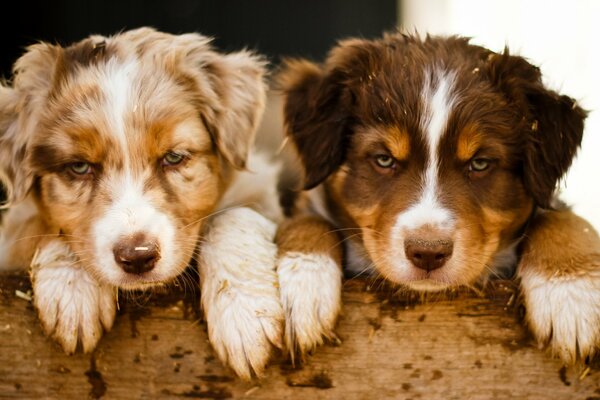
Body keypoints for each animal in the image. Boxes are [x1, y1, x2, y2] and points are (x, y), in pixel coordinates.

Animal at [0, 27, 288, 378]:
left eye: (174, 157)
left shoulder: (256, 189)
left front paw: (244, 315)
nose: (137, 257)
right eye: (79, 167)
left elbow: (233, 216)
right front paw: (72, 291)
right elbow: (43, 225)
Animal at [276, 32, 600, 364]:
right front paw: (302, 283)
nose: (428, 253)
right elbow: (307, 220)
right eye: (383, 159)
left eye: (480, 164)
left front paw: (569, 292)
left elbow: (562, 217)